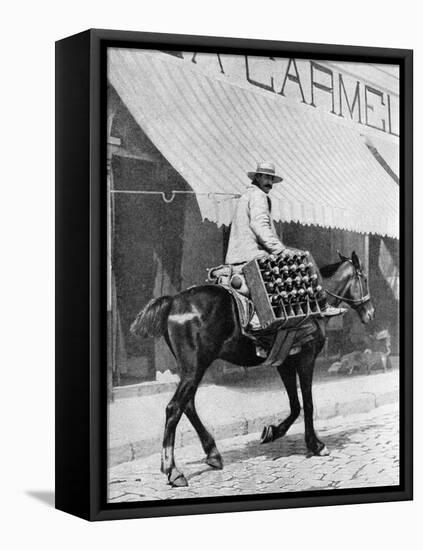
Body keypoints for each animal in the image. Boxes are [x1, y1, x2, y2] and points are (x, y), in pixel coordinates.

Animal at [132, 251, 374, 488]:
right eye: (364, 278)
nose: (371, 313)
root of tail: (173, 301)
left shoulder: (284, 362)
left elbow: (295, 405)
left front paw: (273, 432)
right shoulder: (306, 359)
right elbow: (308, 403)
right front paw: (315, 445)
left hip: (191, 367)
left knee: (187, 404)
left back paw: (213, 453)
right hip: (195, 367)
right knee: (174, 408)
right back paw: (173, 470)